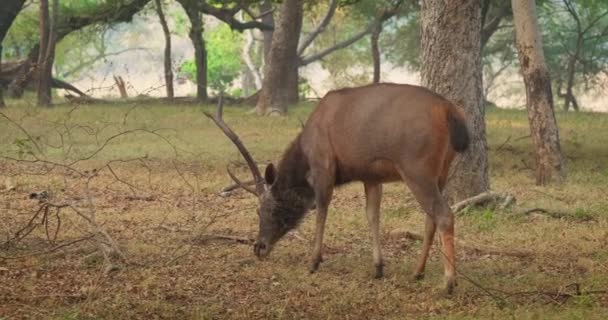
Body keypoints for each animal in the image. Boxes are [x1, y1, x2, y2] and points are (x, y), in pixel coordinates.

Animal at [208, 84, 470, 294]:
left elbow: (321, 210)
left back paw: (449, 282)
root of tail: (450, 111)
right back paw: (418, 271)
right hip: (441, 171)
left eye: (267, 209)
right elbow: (372, 215)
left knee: (444, 215)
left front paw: (314, 261)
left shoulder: (323, 164)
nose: (259, 248)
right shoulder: (370, 176)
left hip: (416, 167)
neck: (305, 149)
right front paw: (378, 267)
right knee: (431, 218)